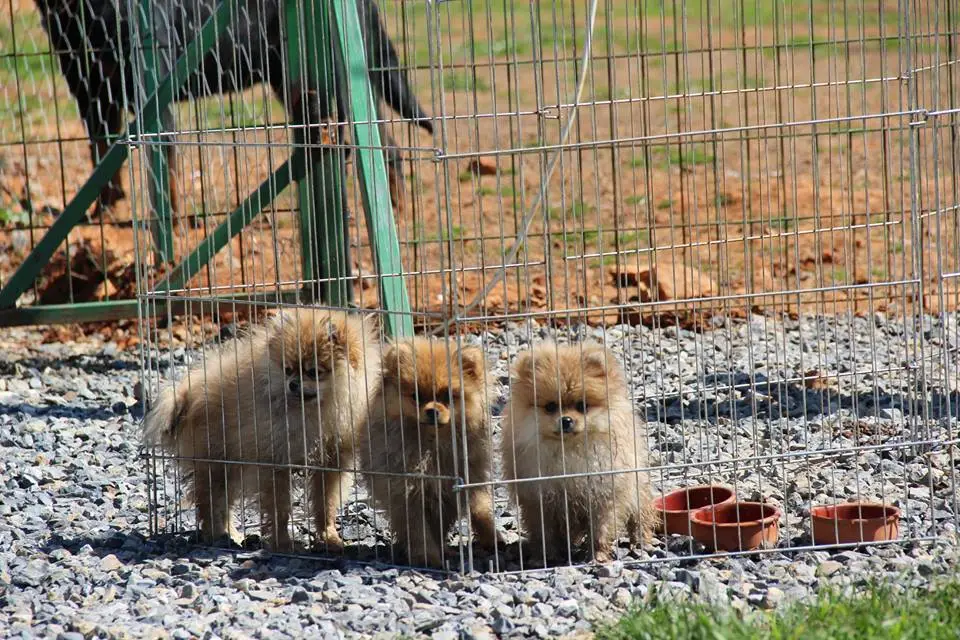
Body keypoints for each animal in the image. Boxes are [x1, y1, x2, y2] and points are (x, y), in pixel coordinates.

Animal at [142, 308, 378, 552]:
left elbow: (326, 503)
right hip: (216, 461)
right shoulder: (274, 461)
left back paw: (230, 533)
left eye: (314, 372)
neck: (312, 411)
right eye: (288, 370)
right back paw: (216, 535)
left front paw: (329, 537)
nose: (292, 384)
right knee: (210, 501)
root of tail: (186, 394)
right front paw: (283, 543)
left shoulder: (331, 460)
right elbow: (280, 509)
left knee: (222, 503)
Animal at [364, 338, 498, 568]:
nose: (432, 410)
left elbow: (481, 509)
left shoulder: (470, 476)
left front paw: (493, 537)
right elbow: (418, 530)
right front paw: (427, 557)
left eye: (448, 396)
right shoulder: (408, 492)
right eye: (416, 396)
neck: (433, 445)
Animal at [498, 342, 656, 564]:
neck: (569, 452)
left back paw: (641, 542)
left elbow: (600, 529)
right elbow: (544, 533)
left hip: (637, 487)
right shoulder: (538, 499)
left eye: (582, 406)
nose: (566, 420)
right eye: (550, 406)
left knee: (639, 516)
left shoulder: (603, 495)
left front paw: (598, 555)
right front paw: (546, 556)